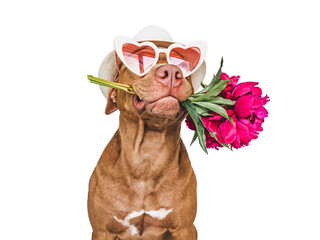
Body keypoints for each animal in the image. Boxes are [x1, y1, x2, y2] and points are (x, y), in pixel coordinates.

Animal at [87, 26, 205, 240]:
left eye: (182, 64)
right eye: (140, 61)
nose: (172, 71)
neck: (148, 155)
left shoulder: (185, 228)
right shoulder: (102, 230)